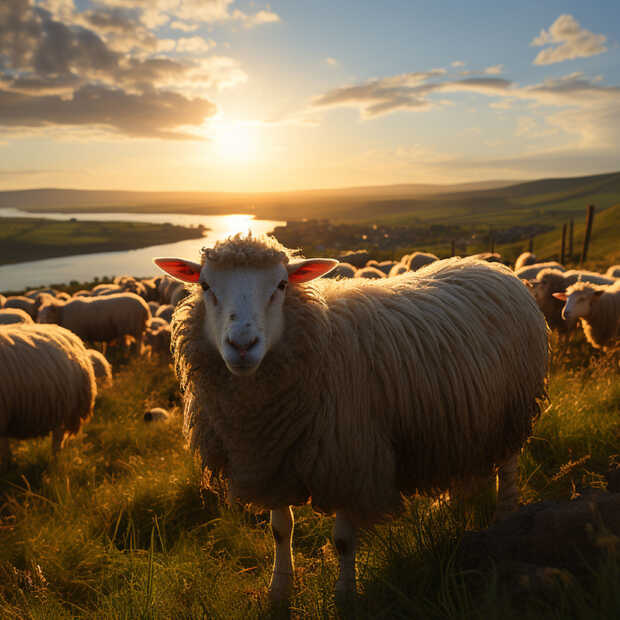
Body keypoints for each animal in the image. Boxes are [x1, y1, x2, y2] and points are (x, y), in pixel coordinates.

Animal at [155, 235, 548, 604]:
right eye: (205, 285)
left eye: (281, 285)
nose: (242, 345)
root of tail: (492, 266)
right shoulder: (269, 459)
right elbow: (281, 530)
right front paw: (279, 588)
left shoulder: (348, 459)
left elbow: (343, 540)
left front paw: (345, 595)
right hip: (465, 417)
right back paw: (450, 505)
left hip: (512, 410)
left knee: (508, 467)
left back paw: (505, 516)